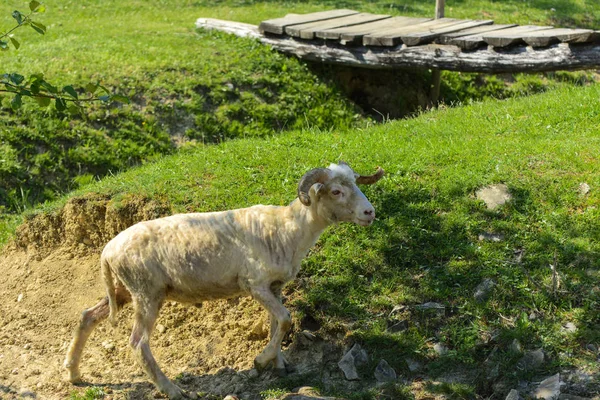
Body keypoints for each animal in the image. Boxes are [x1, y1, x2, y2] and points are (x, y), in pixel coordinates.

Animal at [64, 161, 384, 398]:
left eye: (356, 184)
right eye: (336, 191)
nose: (369, 212)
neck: (288, 228)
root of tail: (107, 250)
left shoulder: (275, 287)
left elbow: (276, 323)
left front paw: (278, 364)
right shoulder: (255, 284)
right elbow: (285, 319)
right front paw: (261, 361)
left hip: (123, 290)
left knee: (87, 316)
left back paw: (73, 371)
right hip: (146, 292)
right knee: (138, 343)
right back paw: (173, 390)